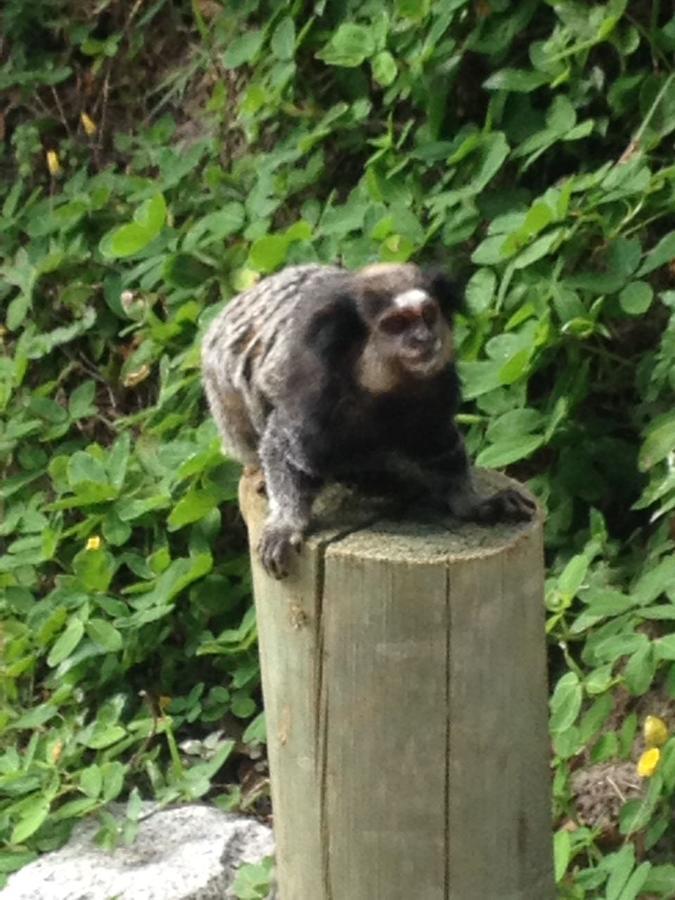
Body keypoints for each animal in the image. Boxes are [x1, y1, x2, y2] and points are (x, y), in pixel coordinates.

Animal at [202, 264, 540, 580]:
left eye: (428, 315)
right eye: (396, 324)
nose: (424, 338)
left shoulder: (435, 393)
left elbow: (440, 448)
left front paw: (473, 503)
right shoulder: (311, 398)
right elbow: (286, 452)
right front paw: (286, 522)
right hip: (224, 398)